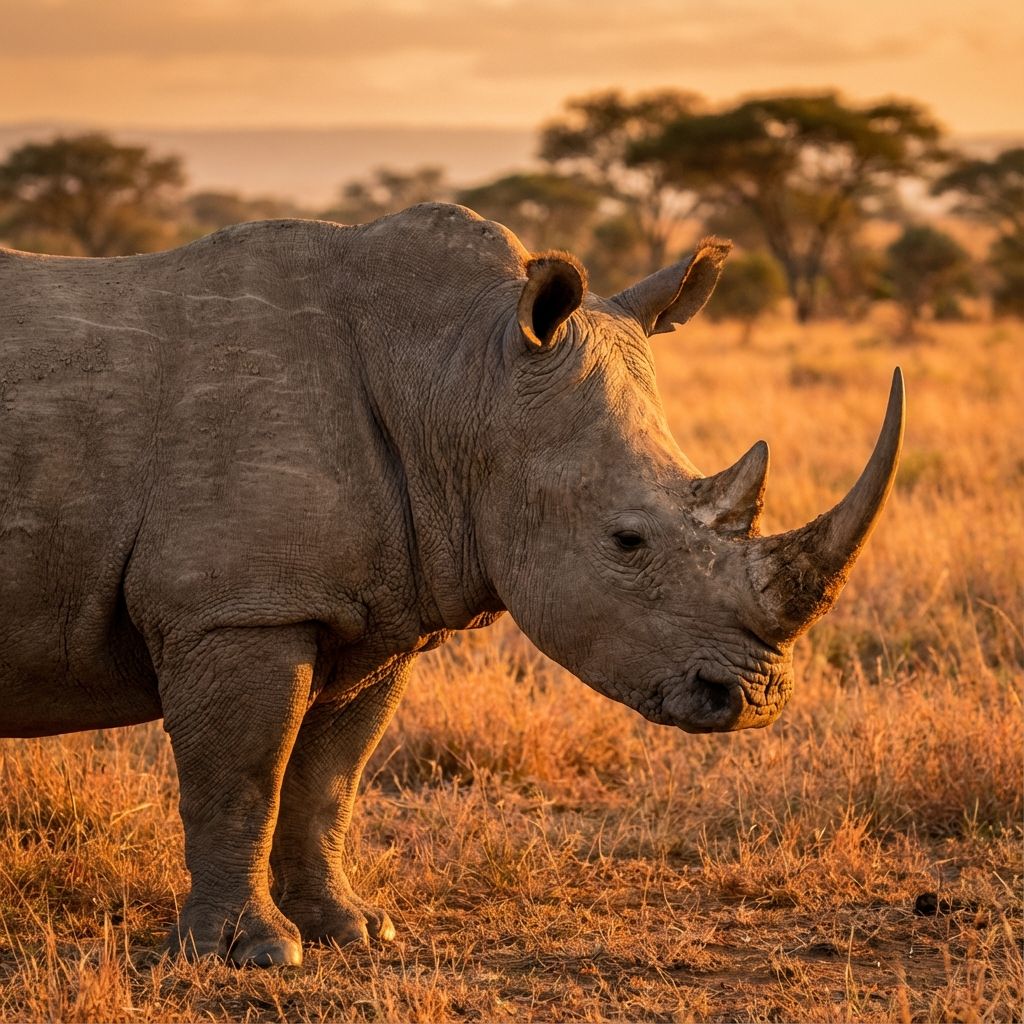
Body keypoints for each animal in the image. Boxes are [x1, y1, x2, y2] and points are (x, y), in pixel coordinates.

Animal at [0, 203, 903, 966]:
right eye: (627, 540)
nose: (753, 701)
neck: (459, 376)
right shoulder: (236, 611)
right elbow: (241, 779)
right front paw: (252, 954)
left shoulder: (371, 614)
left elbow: (327, 781)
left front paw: (353, 932)